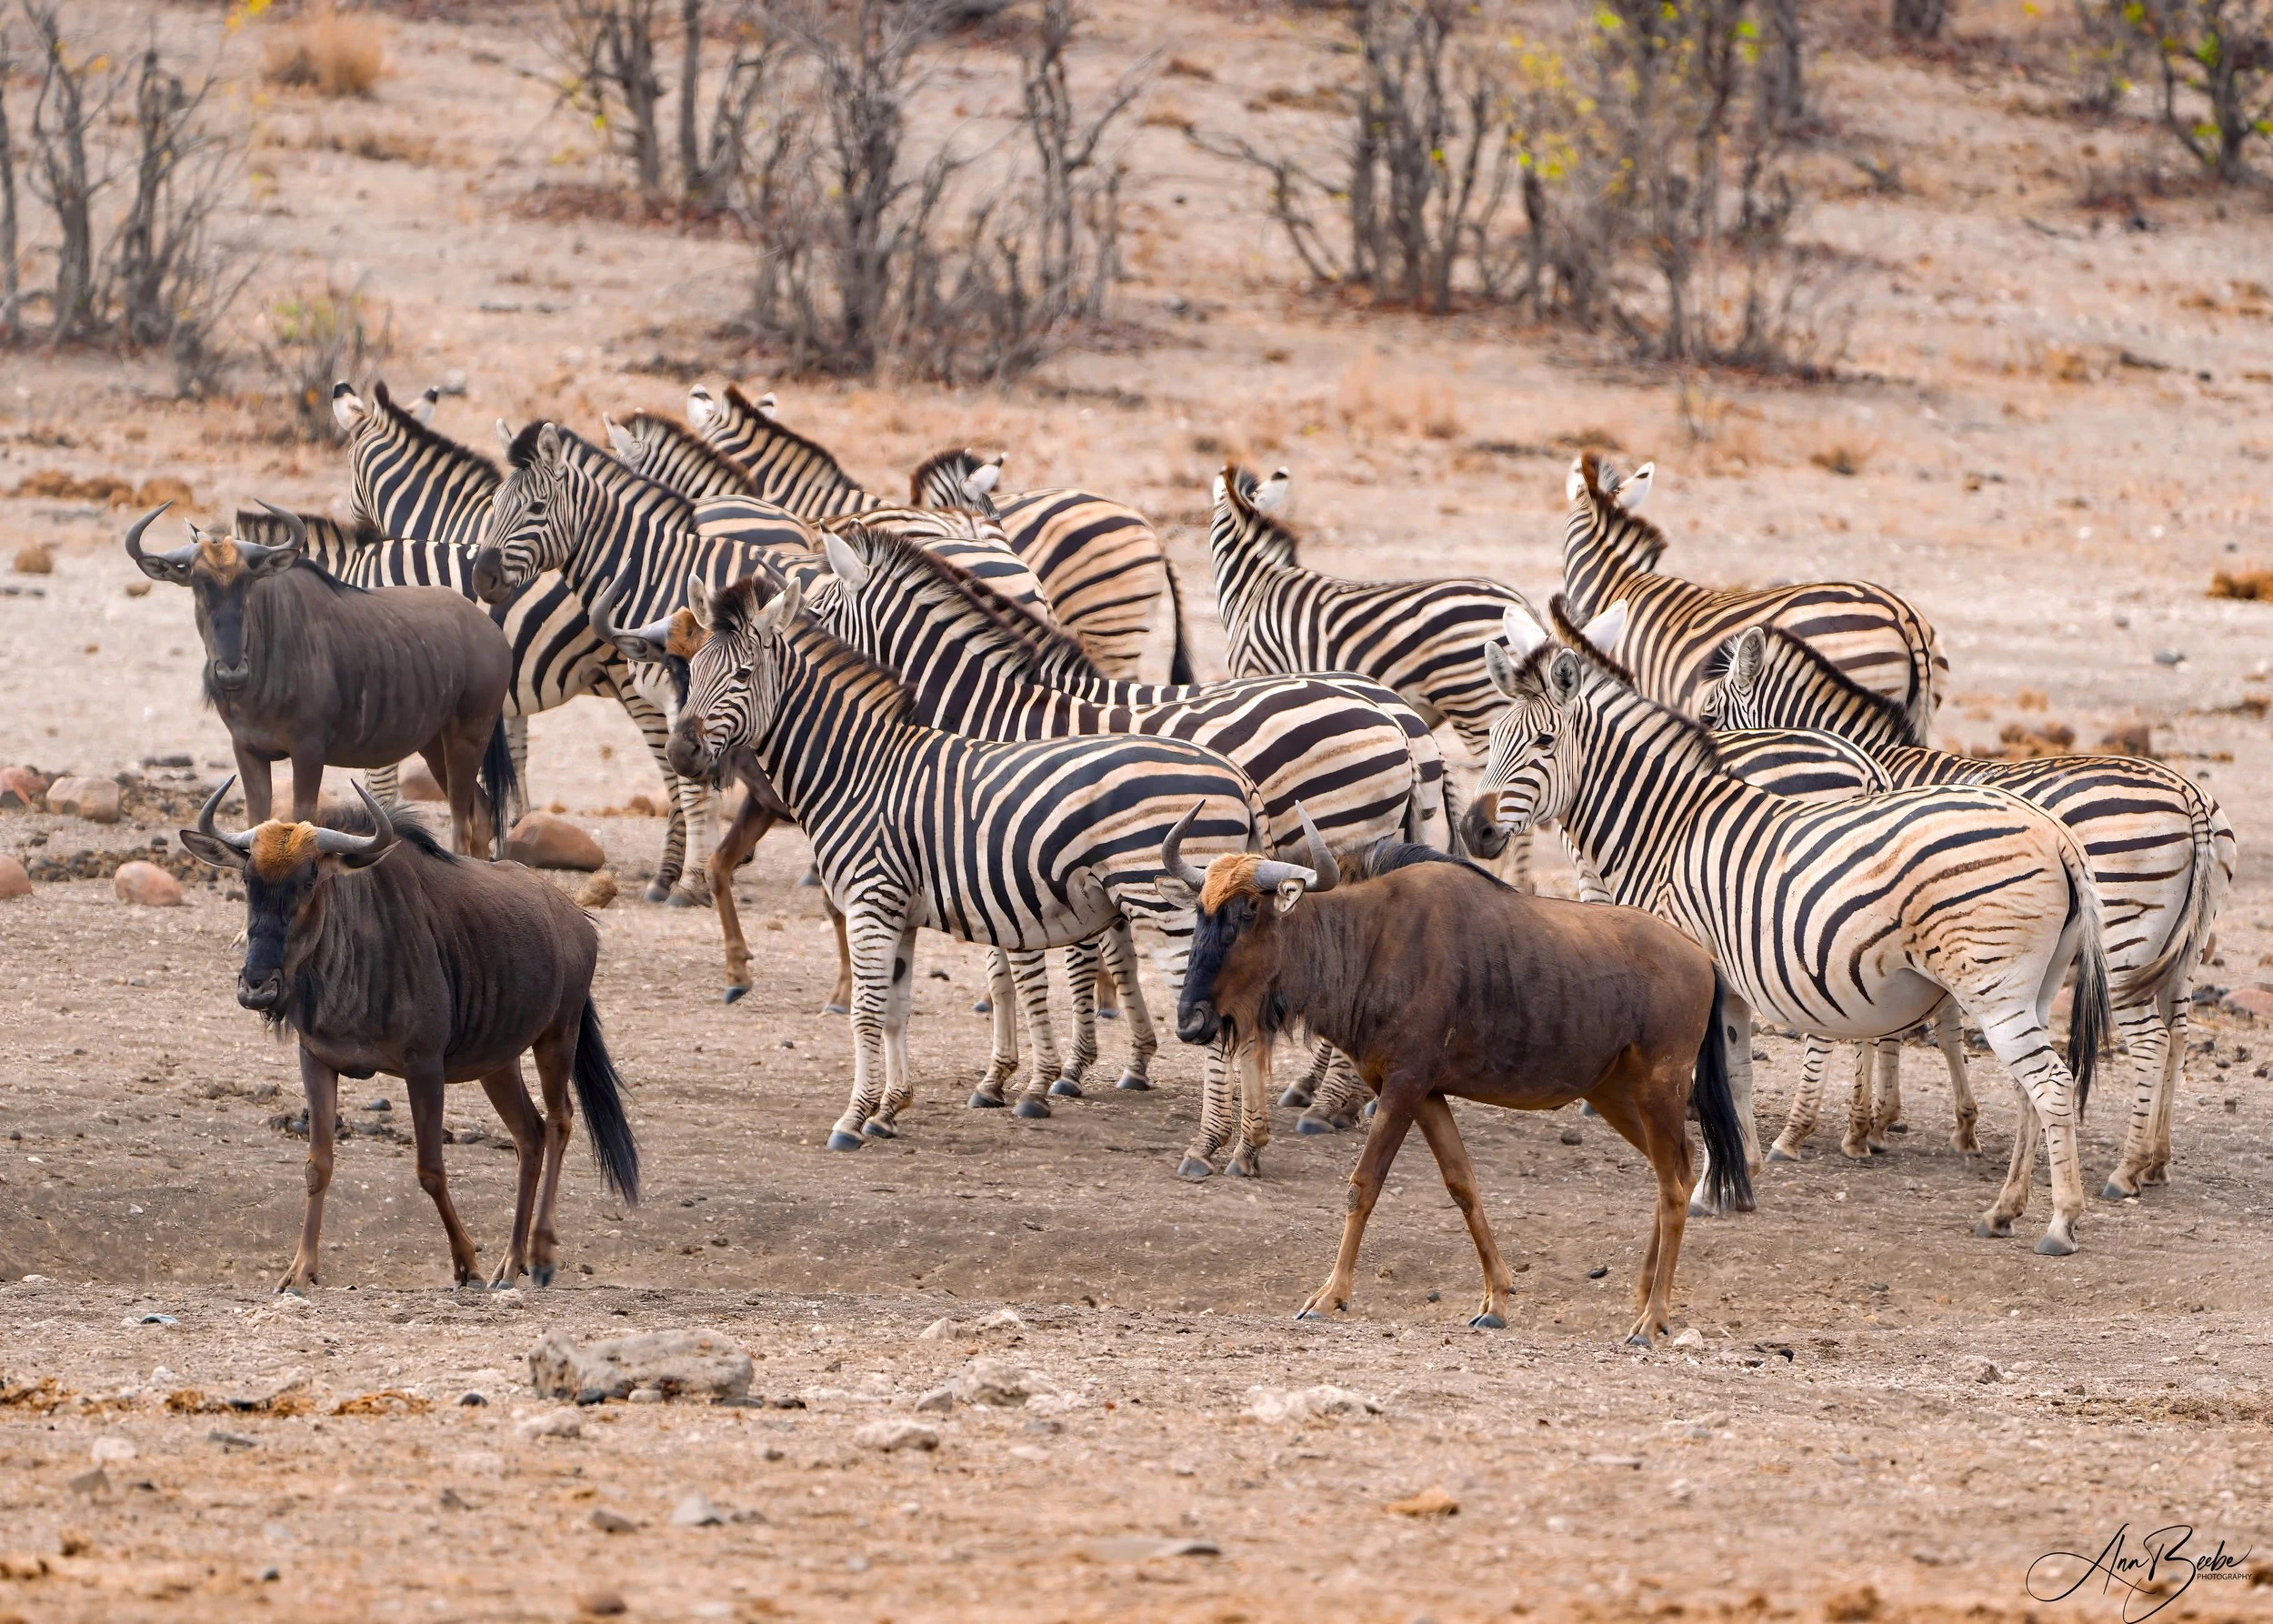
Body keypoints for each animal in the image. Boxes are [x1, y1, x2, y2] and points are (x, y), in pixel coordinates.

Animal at [669, 570, 1277, 1156]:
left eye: (743, 674)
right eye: (693, 670)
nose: (680, 753)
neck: (856, 768)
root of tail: (1233, 773)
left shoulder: (871, 901)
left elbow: (866, 1013)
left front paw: (852, 1119)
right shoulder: (900, 911)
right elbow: (896, 1010)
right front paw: (888, 1111)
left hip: (1170, 911)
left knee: (1215, 1018)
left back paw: (1206, 1145)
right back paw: (1246, 1146)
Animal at [1473, 596, 2115, 1256]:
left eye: (1544, 741)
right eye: (1492, 739)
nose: (1476, 830)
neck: (1667, 823)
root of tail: (2055, 834)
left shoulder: (1696, 976)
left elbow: (1710, 1085)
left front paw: (1707, 1185)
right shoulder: (1728, 983)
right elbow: (1736, 1075)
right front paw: (1735, 1181)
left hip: (1993, 985)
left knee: (2050, 1085)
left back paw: (2060, 1221)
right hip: (2031, 985)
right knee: (2026, 1090)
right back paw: (2004, 1209)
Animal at [1702, 622, 2232, 1196]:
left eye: (1707, 717)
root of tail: (2190, 797)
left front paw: (1870, 1124)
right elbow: (1935, 1025)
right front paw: (1905, 1123)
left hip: (2121, 938)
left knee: (2152, 1041)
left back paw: (2126, 1168)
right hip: (2182, 949)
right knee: (2179, 1035)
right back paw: (2157, 1159)